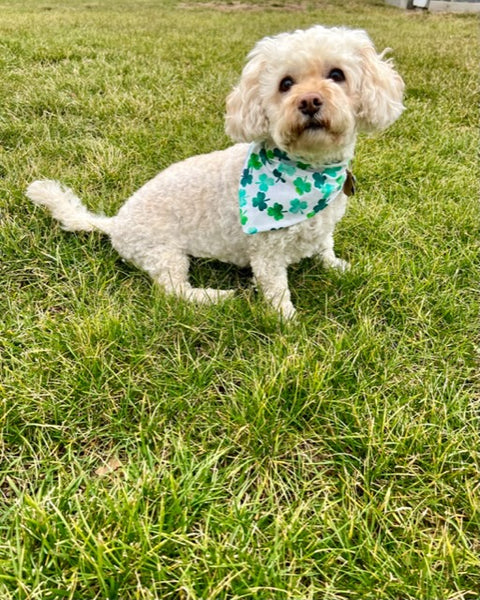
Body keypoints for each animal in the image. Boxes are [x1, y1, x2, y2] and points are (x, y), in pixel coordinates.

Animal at [26, 24, 404, 318]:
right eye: (285, 84)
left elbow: (325, 245)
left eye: (337, 75)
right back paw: (215, 297)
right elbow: (276, 290)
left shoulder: (323, 225)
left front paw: (338, 267)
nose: (309, 101)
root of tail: (114, 223)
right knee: (174, 292)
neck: (309, 171)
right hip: (164, 253)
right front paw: (287, 323)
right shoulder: (266, 254)